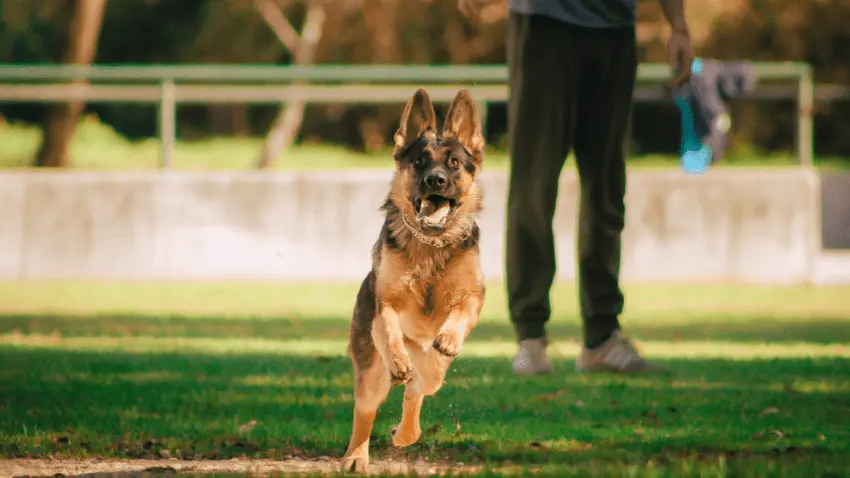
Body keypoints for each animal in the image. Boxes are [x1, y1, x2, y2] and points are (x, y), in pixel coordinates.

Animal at [338, 89, 484, 474]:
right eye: (419, 161)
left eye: (453, 163)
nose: (435, 180)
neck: (431, 243)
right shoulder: (384, 305)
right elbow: (390, 328)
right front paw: (399, 360)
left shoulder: (474, 296)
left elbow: (459, 313)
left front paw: (447, 337)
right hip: (370, 368)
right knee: (366, 409)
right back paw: (356, 456)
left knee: (421, 386)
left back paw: (406, 432)